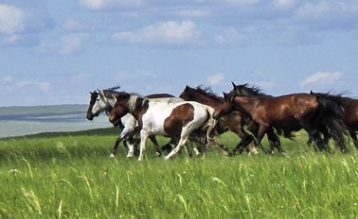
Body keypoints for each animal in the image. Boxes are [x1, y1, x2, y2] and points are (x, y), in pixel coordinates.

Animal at [214, 83, 348, 153]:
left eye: (223, 100)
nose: (215, 114)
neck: (255, 104)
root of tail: (317, 98)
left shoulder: (264, 126)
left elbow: (259, 141)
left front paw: (270, 152)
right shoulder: (264, 129)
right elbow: (267, 141)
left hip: (306, 123)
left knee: (316, 135)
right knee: (327, 135)